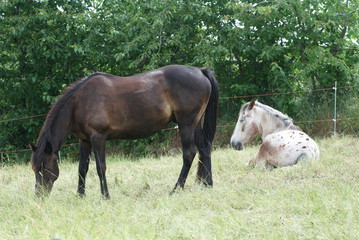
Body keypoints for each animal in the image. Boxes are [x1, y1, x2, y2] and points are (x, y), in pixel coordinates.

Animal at [30, 64, 219, 198]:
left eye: (44, 168)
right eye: (34, 169)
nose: (39, 196)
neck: (79, 103)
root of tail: (200, 71)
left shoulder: (98, 137)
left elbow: (100, 167)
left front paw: (105, 196)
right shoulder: (84, 140)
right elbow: (82, 168)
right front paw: (80, 196)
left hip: (186, 124)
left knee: (189, 153)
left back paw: (176, 189)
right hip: (195, 124)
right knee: (204, 149)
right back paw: (208, 184)